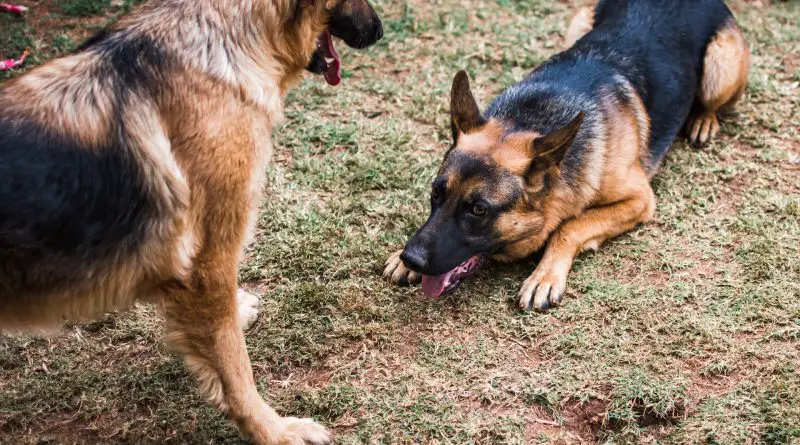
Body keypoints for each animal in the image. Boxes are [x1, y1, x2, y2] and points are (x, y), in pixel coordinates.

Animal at [384, 0, 748, 312]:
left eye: (478, 209)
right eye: (436, 193)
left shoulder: (640, 199)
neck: (530, 118)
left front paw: (544, 276)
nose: (412, 258)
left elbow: (570, 226)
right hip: (579, 21)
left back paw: (704, 120)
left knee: (713, 102)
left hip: (721, 67)